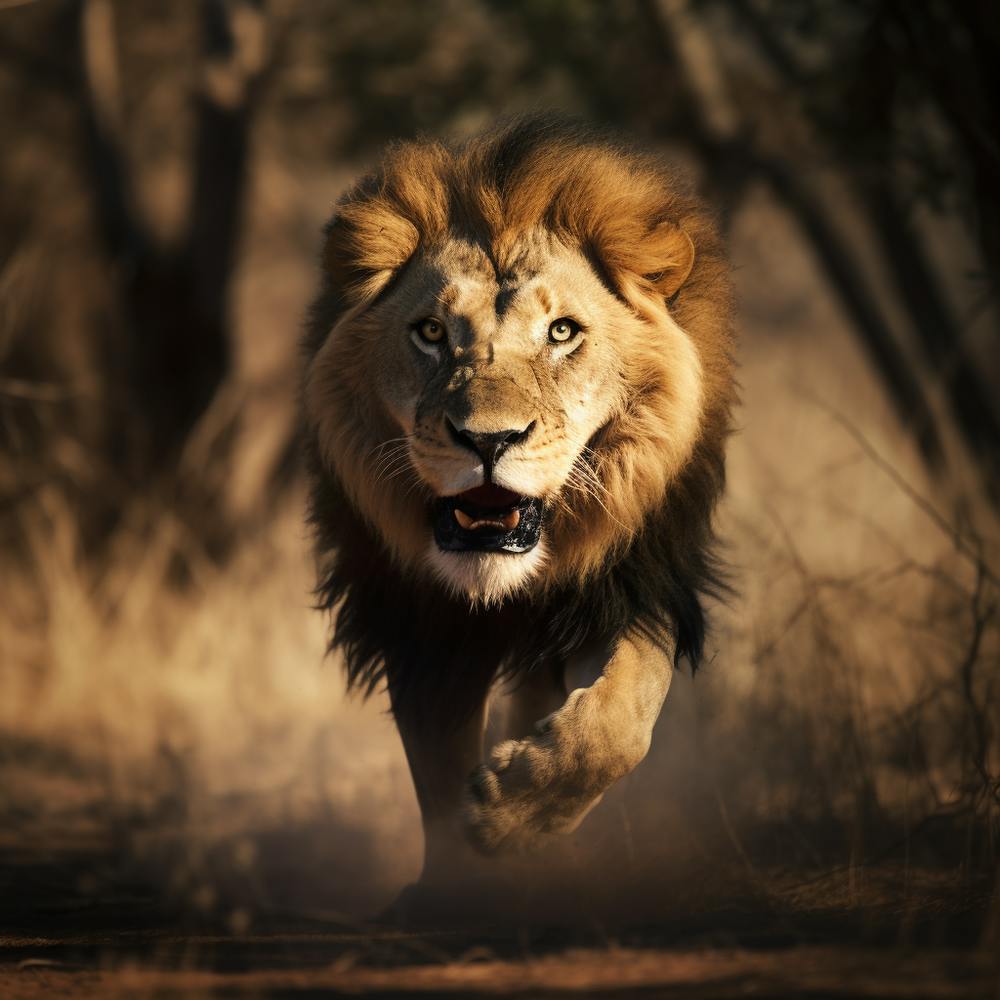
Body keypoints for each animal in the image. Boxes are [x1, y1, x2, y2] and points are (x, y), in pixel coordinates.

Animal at [302, 116, 735, 903]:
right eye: (431, 333)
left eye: (562, 333)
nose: (488, 440)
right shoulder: (419, 625)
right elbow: (438, 765)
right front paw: (458, 880)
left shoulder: (636, 579)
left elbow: (622, 721)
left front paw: (513, 817)